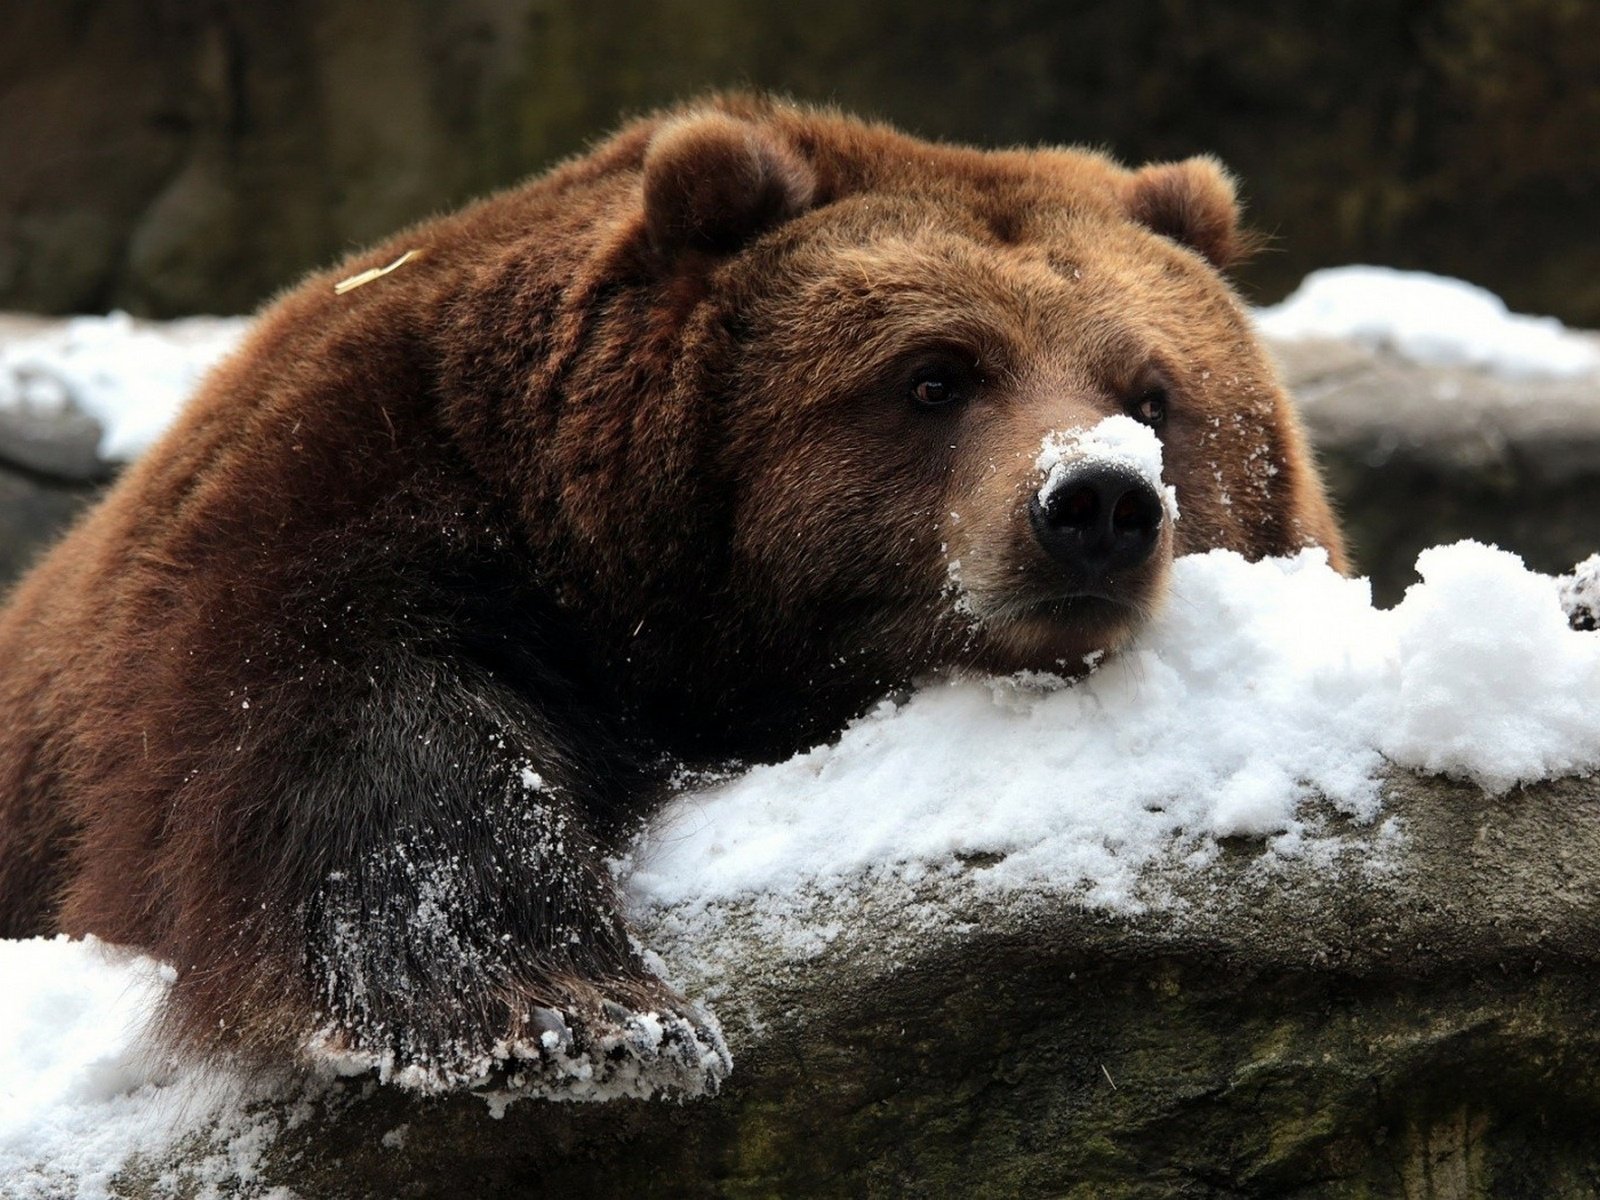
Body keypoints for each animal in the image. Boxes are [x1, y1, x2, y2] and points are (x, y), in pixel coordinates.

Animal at [0, 98, 1350, 1100]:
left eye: (1153, 393)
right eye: (933, 374)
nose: (1097, 504)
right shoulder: (374, 474)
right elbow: (347, 716)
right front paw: (574, 1018)